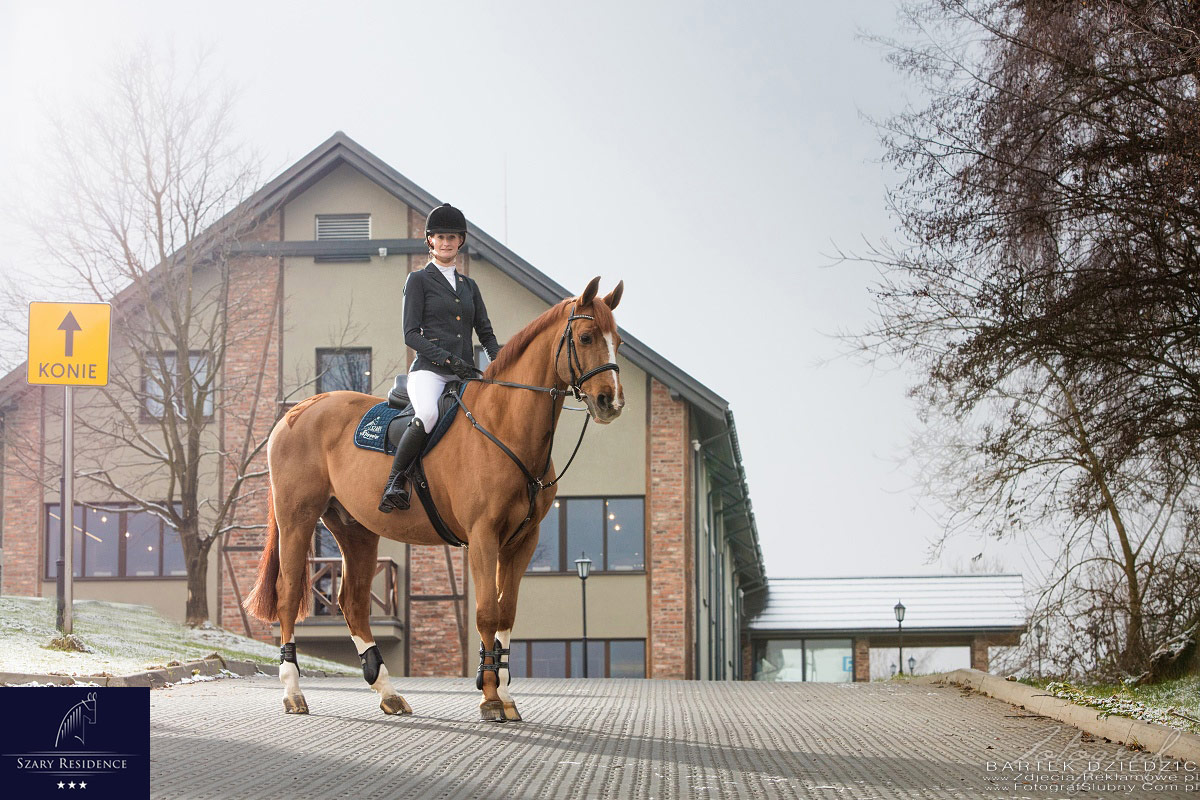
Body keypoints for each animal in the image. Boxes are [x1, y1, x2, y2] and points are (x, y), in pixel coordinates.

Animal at [238, 278, 624, 724]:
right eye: (586, 337)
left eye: (618, 341)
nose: (611, 402)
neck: (504, 426)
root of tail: (297, 411)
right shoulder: (483, 536)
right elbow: (487, 612)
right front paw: (490, 698)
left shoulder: (521, 541)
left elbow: (507, 613)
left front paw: (505, 695)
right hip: (297, 518)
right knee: (288, 594)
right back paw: (293, 692)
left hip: (356, 529)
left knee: (353, 602)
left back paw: (388, 692)